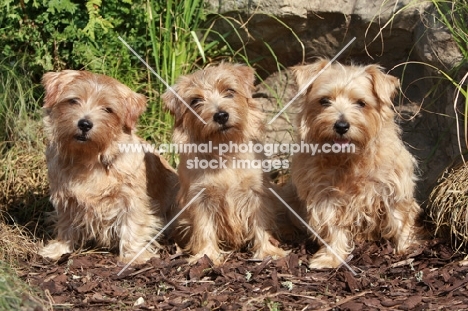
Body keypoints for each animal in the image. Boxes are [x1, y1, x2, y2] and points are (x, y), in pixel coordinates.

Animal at [39, 70, 178, 264]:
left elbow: (133, 225)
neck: (89, 159)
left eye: (108, 109)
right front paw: (58, 249)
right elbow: (66, 225)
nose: (84, 124)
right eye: (73, 100)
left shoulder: (132, 198)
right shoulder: (66, 198)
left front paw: (134, 256)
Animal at [162, 63, 288, 266]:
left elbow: (260, 221)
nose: (220, 115)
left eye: (229, 91)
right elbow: (204, 227)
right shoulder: (200, 197)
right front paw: (206, 256)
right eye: (195, 100)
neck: (225, 149)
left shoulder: (256, 192)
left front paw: (268, 251)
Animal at [290, 59, 422, 270]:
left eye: (361, 103)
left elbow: (400, 218)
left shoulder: (393, 188)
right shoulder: (325, 195)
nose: (342, 126)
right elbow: (332, 226)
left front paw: (406, 248)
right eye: (324, 101)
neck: (348, 158)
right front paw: (331, 257)